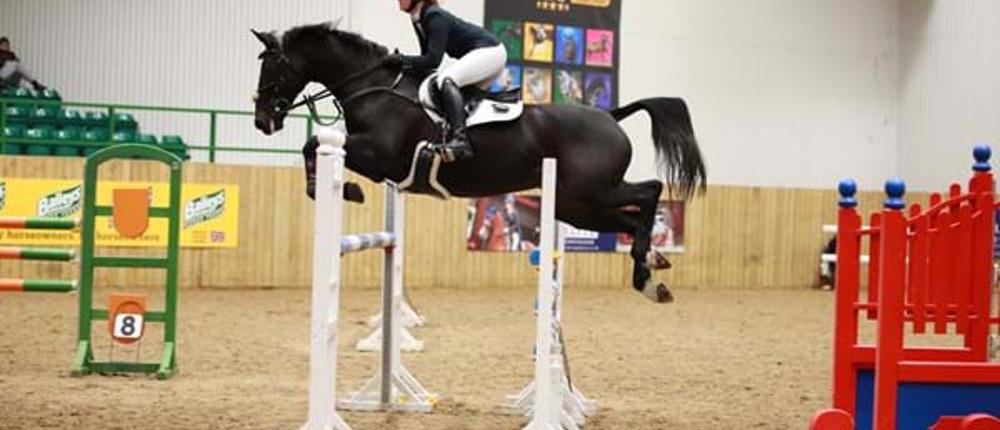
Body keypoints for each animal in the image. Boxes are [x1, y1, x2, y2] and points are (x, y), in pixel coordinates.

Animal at [249, 22, 704, 302]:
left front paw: (345, 188)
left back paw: (647, 270)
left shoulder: (380, 155)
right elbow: (313, 145)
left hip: (592, 190)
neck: (374, 87)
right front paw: (342, 187)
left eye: (273, 67)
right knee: (629, 217)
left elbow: (312, 144)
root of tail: (610, 116)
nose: (262, 121)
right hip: (578, 205)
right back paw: (651, 270)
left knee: (650, 191)